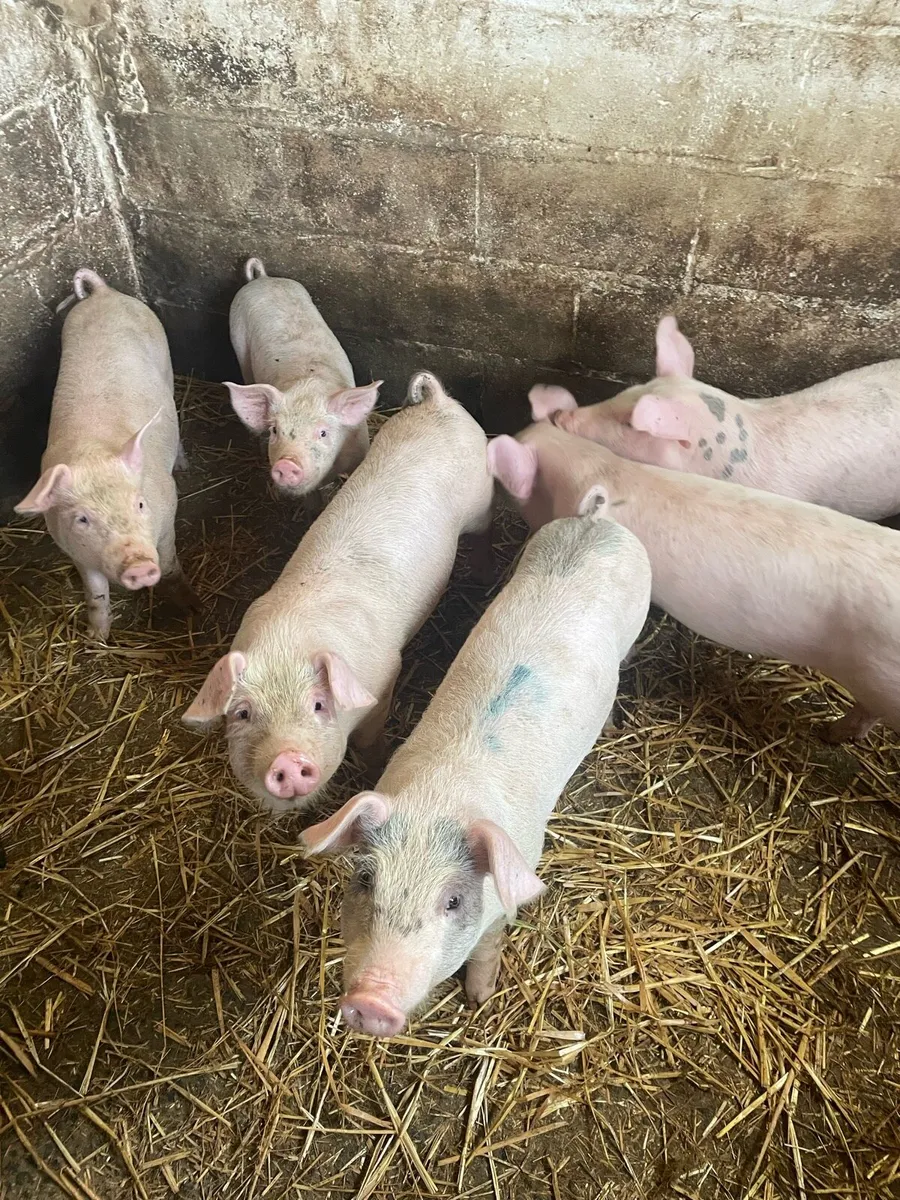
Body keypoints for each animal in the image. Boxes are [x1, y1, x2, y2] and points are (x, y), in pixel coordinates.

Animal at [14, 269, 196, 641]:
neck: (92, 455)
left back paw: (183, 463)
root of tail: (103, 293)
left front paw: (190, 607)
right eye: (83, 519)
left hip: (165, 359)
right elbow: (95, 593)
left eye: (139, 504)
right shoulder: (74, 549)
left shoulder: (167, 511)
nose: (139, 566)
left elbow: (171, 564)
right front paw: (96, 639)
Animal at [182, 372, 494, 814]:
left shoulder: (384, 677)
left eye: (318, 703)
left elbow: (367, 739)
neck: (286, 641)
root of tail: (436, 402)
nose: (287, 760)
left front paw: (375, 763)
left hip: (482, 498)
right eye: (242, 714)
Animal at [301, 511, 651, 1036]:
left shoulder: (505, 896)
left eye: (453, 902)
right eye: (365, 880)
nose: (369, 1001)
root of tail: (598, 521)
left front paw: (480, 999)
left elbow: (486, 950)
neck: (438, 799)